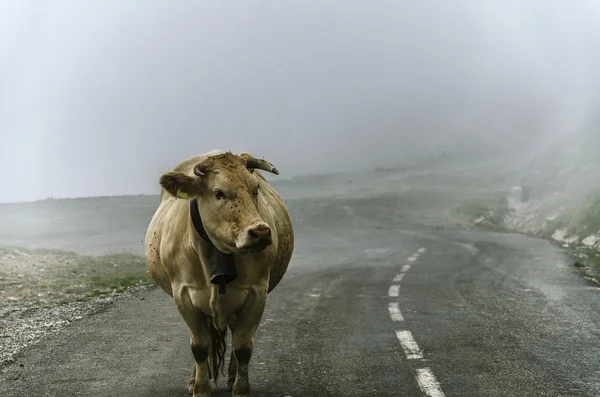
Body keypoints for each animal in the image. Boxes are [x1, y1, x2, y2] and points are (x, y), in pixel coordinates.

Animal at [145, 150, 296, 394]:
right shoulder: (183, 296)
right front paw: (200, 388)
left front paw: (241, 389)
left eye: (255, 189)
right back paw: (194, 379)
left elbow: (243, 346)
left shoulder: (256, 293)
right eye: (219, 193)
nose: (260, 232)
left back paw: (232, 376)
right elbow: (199, 346)